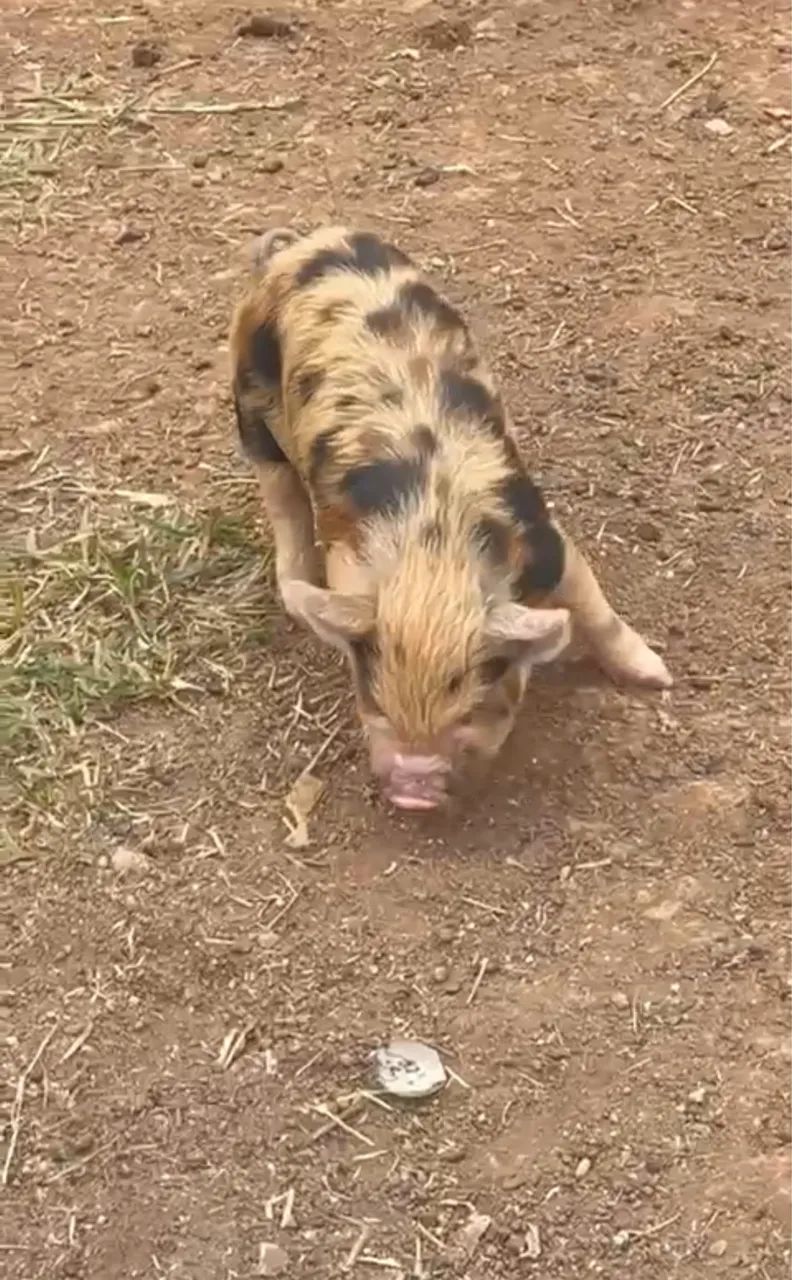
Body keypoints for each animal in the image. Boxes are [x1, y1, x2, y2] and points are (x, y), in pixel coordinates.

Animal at [229, 226, 672, 810]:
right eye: (377, 704)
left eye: (472, 709)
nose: (413, 789)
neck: (432, 547)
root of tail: (299, 246)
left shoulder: (550, 545)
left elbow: (597, 610)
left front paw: (659, 676)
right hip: (247, 392)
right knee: (280, 494)